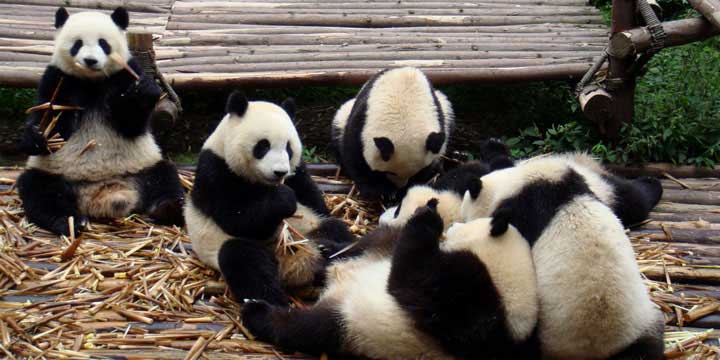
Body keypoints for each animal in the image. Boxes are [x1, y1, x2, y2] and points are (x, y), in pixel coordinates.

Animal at [15, 7, 184, 236]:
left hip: (144, 166)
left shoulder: (125, 74)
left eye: (104, 43)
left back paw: (170, 209)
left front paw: (144, 91)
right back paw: (70, 221)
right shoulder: (59, 79)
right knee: (39, 191)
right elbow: (50, 115)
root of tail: (104, 196)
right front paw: (36, 136)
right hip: (55, 174)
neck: (92, 82)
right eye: (77, 44)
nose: (90, 60)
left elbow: (132, 123)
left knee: (165, 177)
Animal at [184, 91, 352, 306]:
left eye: (289, 148)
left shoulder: (297, 171)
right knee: (244, 260)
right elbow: (237, 220)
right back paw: (272, 303)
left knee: (333, 228)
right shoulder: (216, 171)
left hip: (307, 231)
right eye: (263, 146)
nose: (279, 172)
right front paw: (284, 199)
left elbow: (313, 200)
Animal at [242, 200, 540, 360]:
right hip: (375, 253)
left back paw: (256, 310)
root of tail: (339, 281)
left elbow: (412, 282)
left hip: (354, 326)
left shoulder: (467, 306)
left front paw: (428, 218)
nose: (453, 225)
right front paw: (429, 210)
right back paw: (325, 253)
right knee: (375, 240)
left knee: (306, 328)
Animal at [334, 67, 456, 200]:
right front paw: (378, 190)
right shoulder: (363, 119)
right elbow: (354, 154)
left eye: (416, 172)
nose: (400, 186)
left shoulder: (437, 115)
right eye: (389, 172)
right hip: (344, 114)